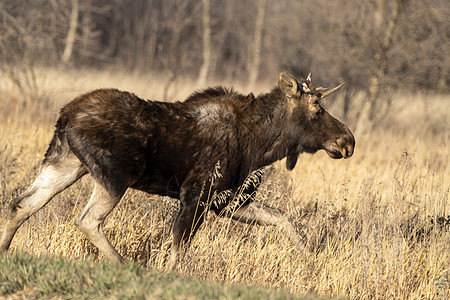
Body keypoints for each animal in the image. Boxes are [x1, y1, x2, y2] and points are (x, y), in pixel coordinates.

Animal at [0, 72, 356, 270]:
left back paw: (4, 251)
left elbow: (285, 220)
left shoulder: (227, 200)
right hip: (116, 174)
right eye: (317, 109)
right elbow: (177, 250)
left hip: (65, 164)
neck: (262, 144)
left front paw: (310, 257)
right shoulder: (195, 193)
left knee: (21, 204)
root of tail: (64, 116)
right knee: (87, 219)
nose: (348, 140)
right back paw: (125, 265)